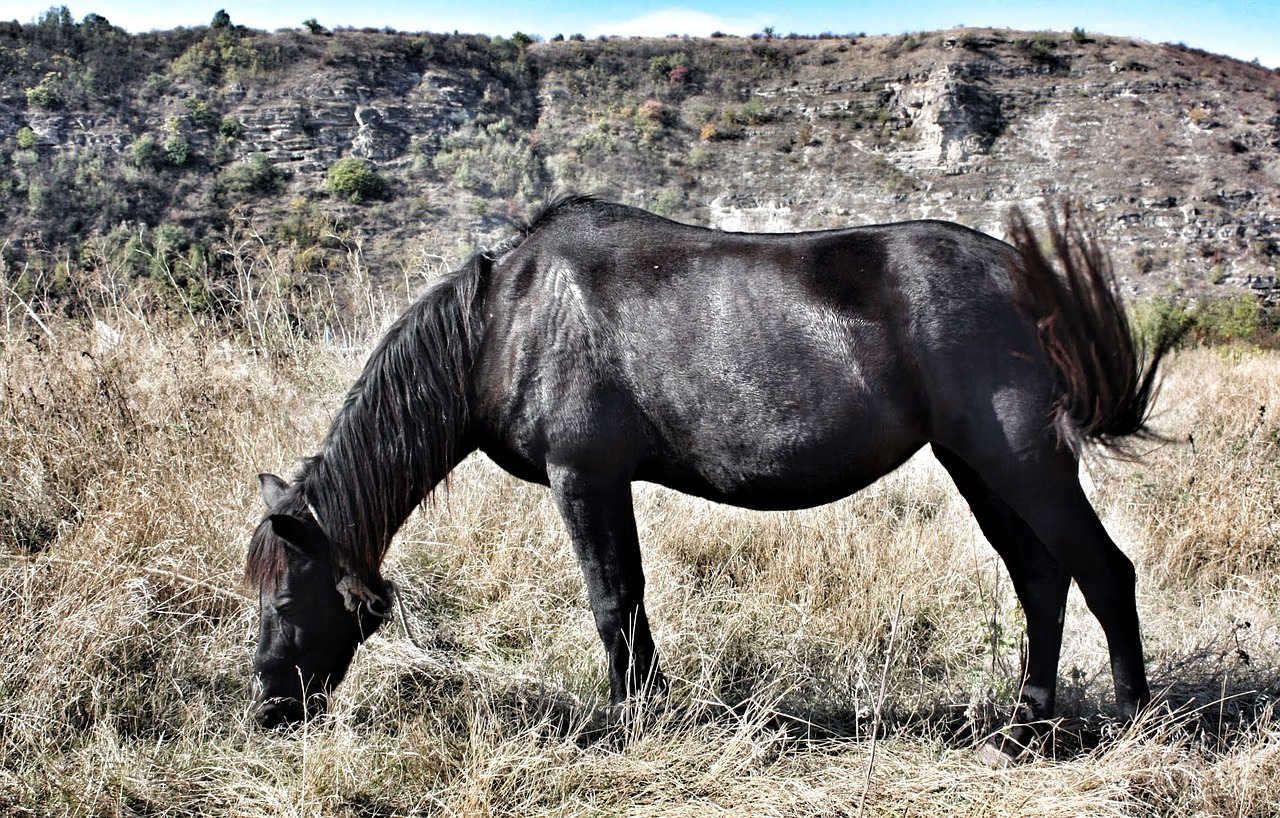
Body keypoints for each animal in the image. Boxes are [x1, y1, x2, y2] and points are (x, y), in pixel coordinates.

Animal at [244, 194, 1172, 762]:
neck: (502, 321)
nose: (268, 712)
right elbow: (630, 601)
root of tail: (1026, 275)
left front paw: (625, 722)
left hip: (1023, 463)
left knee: (1103, 572)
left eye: (286, 601)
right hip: (979, 468)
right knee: (1041, 578)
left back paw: (1133, 722)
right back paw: (1025, 727)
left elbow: (612, 600)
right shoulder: (601, 483)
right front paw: (651, 710)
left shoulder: (584, 477)